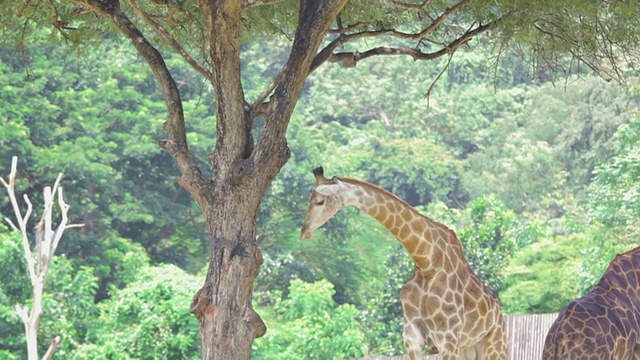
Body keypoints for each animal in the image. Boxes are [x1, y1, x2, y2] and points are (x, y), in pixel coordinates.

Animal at [302, 168, 508, 360]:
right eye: (310, 200)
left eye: (320, 201)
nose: (304, 231)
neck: (426, 262)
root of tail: (499, 313)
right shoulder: (411, 335)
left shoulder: (448, 337)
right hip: (469, 349)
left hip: (495, 344)